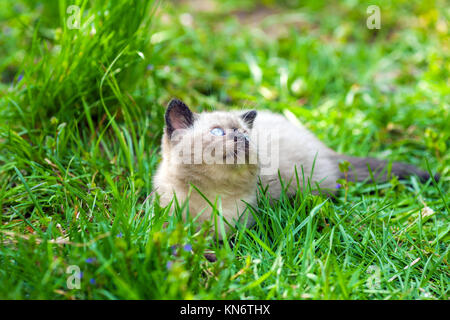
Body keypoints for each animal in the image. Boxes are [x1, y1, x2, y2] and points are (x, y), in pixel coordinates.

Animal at [154, 98, 436, 238]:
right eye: (217, 132)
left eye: (245, 133)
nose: (243, 139)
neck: (210, 195)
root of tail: (324, 148)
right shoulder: (163, 216)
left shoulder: (235, 230)